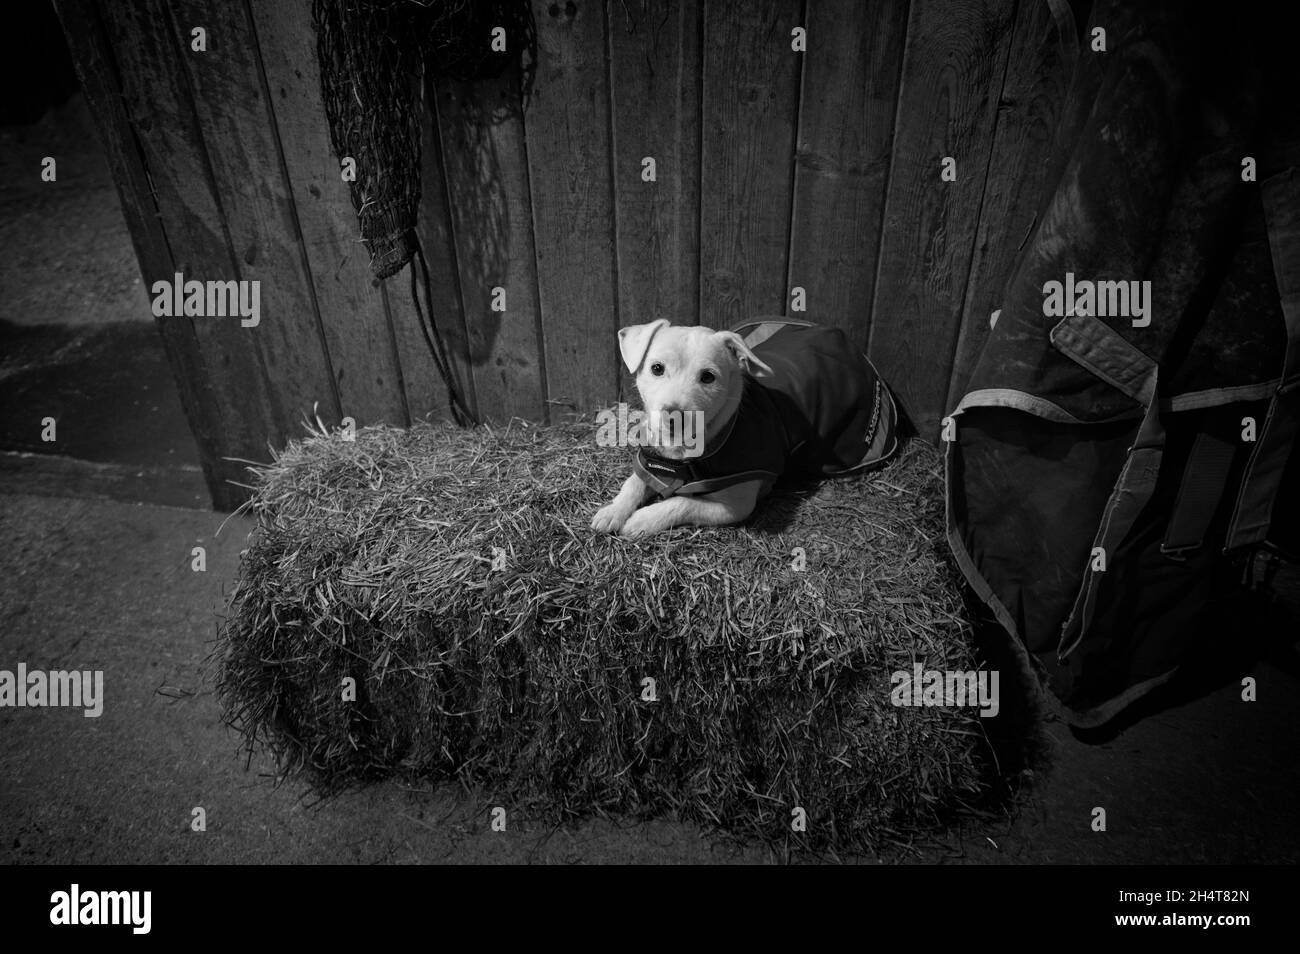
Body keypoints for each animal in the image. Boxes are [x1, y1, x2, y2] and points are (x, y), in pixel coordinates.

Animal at [595, 317, 899, 535]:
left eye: (708, 377)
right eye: (656, 368)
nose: (673, 416)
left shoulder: (735, 505)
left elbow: (682, 503)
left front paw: (641, 520)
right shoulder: (651, 465)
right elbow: (632, 483)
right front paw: (612, 511)